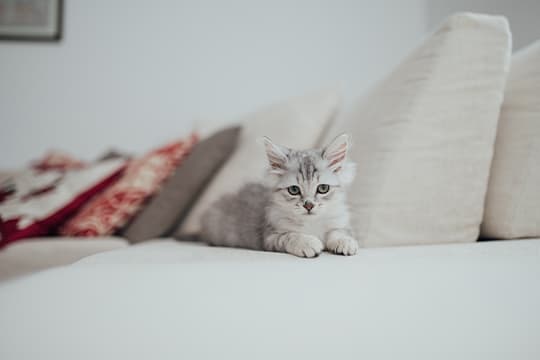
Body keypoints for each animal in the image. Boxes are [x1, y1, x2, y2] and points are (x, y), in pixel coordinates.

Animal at [199, 134, 358, 258]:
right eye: (294, 190)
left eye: (323, 188)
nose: (308, 205)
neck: (311, 224)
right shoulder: (270, 237)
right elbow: (291, 236)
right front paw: (308, 242)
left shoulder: (339, 223)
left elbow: (339, 232)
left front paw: (346, 242)